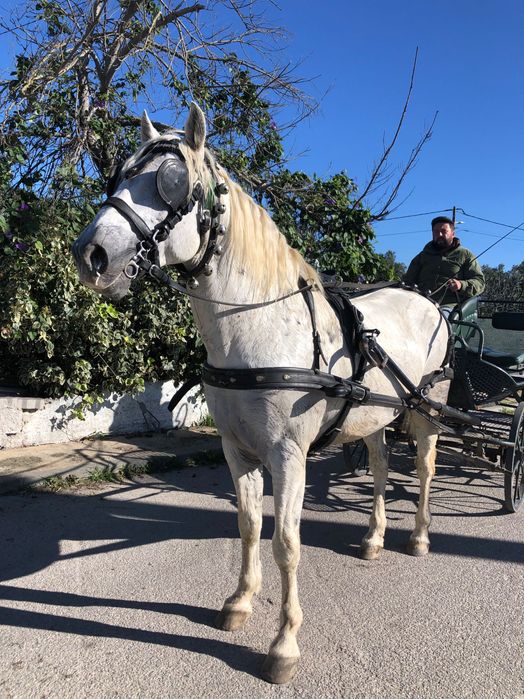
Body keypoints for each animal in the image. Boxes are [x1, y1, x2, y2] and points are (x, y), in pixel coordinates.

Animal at [72, 103, 450, 684]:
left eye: (172, 182)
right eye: (118, 176)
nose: (92, 254)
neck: (257, 327)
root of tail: (430, 300)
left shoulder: (287, 454)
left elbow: (286, 544)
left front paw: (284, 643)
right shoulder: (237, 449)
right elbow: (249, 527)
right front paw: (240, 603)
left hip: (427, 411)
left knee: (426, 470)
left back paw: (420, 537)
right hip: (373, 417)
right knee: (382, 466)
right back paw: (373, 538)